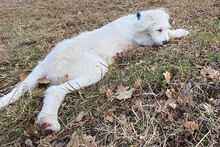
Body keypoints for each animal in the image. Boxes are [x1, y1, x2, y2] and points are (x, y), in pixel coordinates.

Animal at [0, 8, 189, 134]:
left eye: (164, 28)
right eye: (158, 29)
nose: (164, 43)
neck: (136, 21)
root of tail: (45, 63)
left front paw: (179, 31)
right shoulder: (142, 39)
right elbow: (157, 38)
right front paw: (177, 33)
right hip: (95, 67)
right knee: (55, 90)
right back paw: (49, 121)